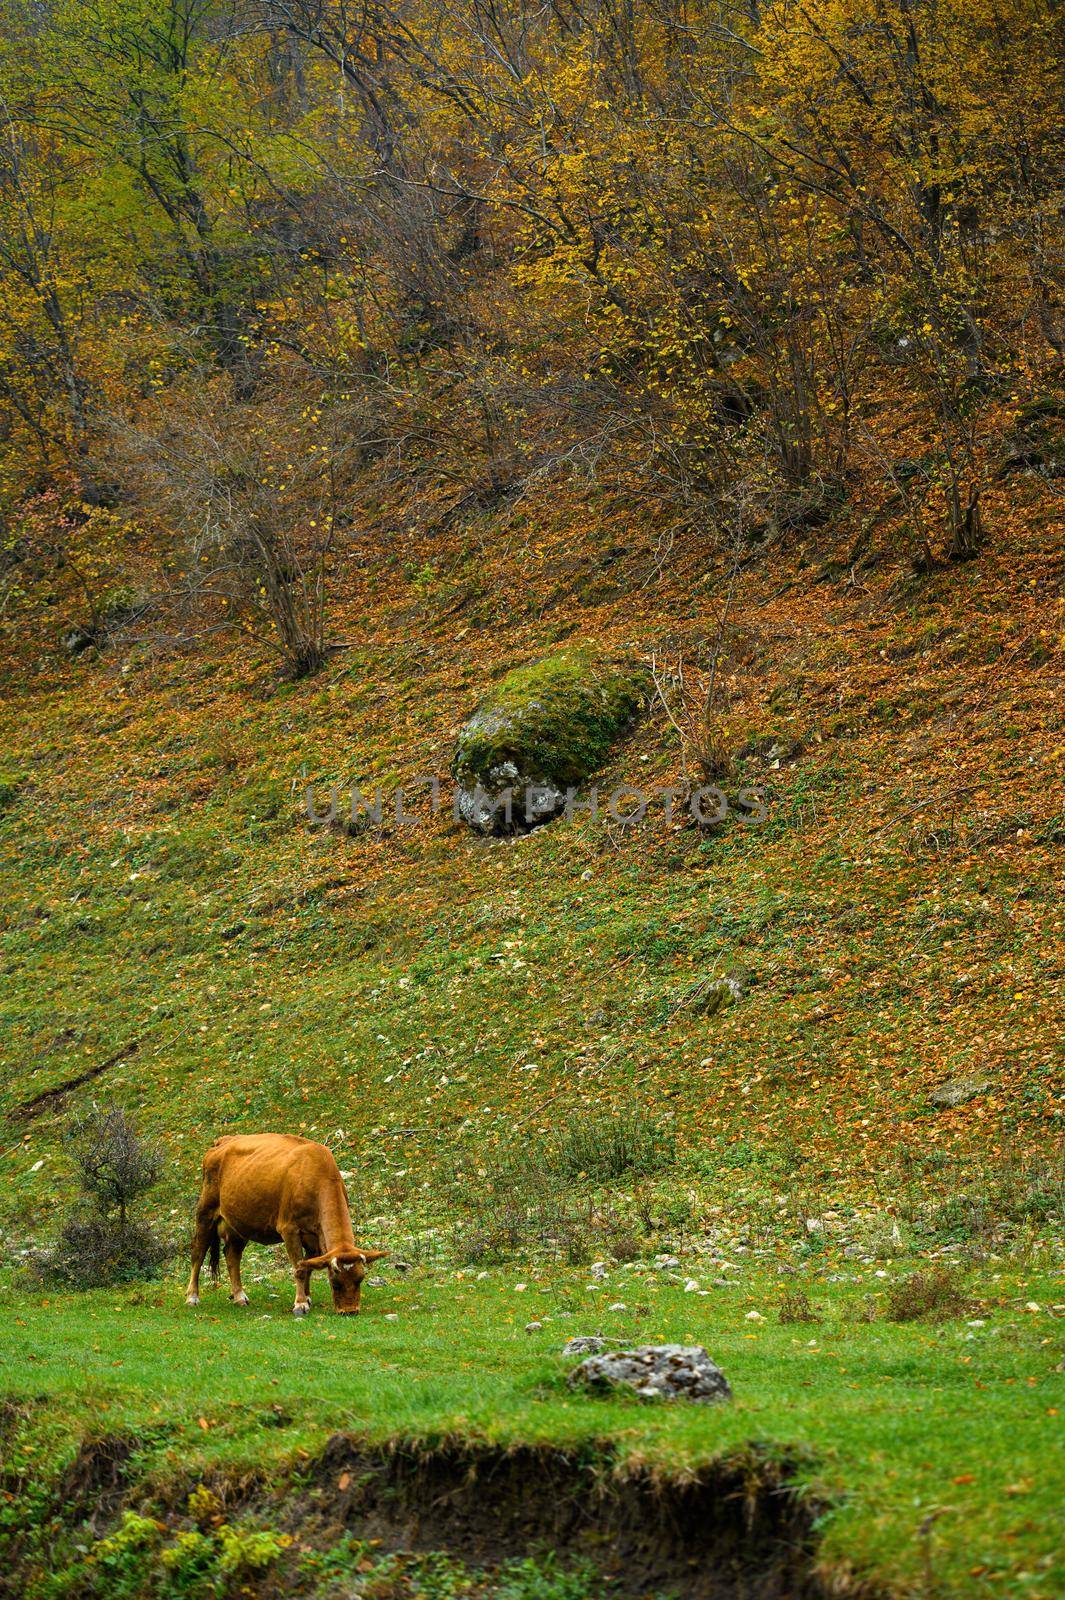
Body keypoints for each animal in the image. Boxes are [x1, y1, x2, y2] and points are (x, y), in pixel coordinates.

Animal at [186, 1132, 385, 1318]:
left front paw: (307, 1297)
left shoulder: (314, 1236)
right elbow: (299, 1269)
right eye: (335, 1282)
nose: (350, 1311)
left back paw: (239, 1296)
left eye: (360, 1279)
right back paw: (192, 1297)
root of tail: (223, 1141)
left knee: (232, 1255)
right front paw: (300, 1303)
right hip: (206, 1211)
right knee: (198, 1252)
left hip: (239, 1223)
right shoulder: (289, 1229)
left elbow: (308, 1265)